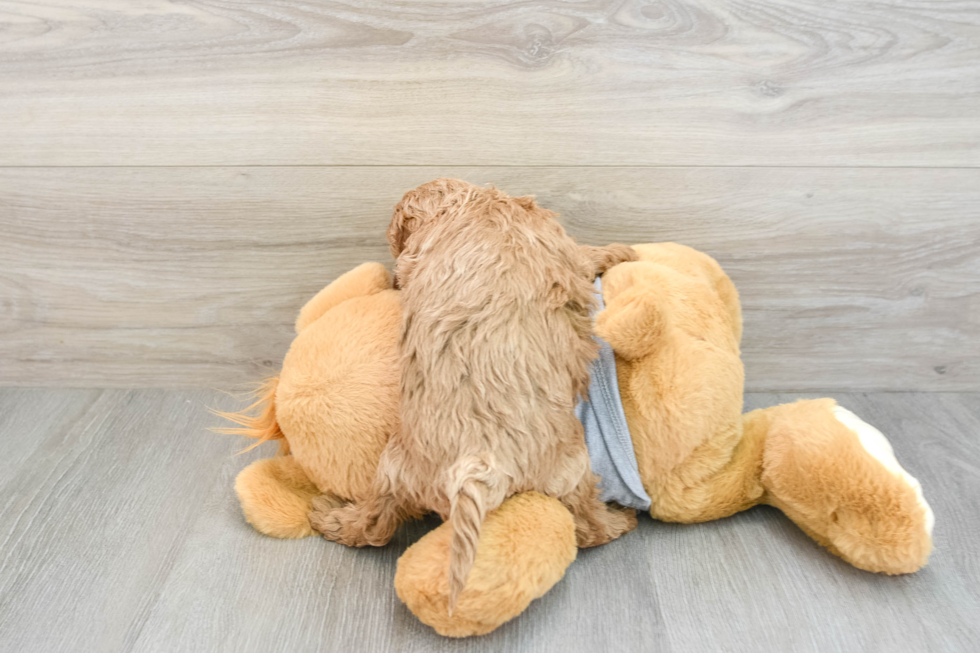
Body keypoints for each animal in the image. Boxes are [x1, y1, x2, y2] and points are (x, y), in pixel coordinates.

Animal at [310, 180, 640, 612]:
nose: (392, 279)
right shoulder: (565, 251)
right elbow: (589, 256)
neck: (472, 204)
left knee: (372, 525)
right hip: (572, 468)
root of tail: (475, 469)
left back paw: (329, 517)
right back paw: (619, 520)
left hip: (392, 469)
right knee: (587, 524)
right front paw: (623, 251)